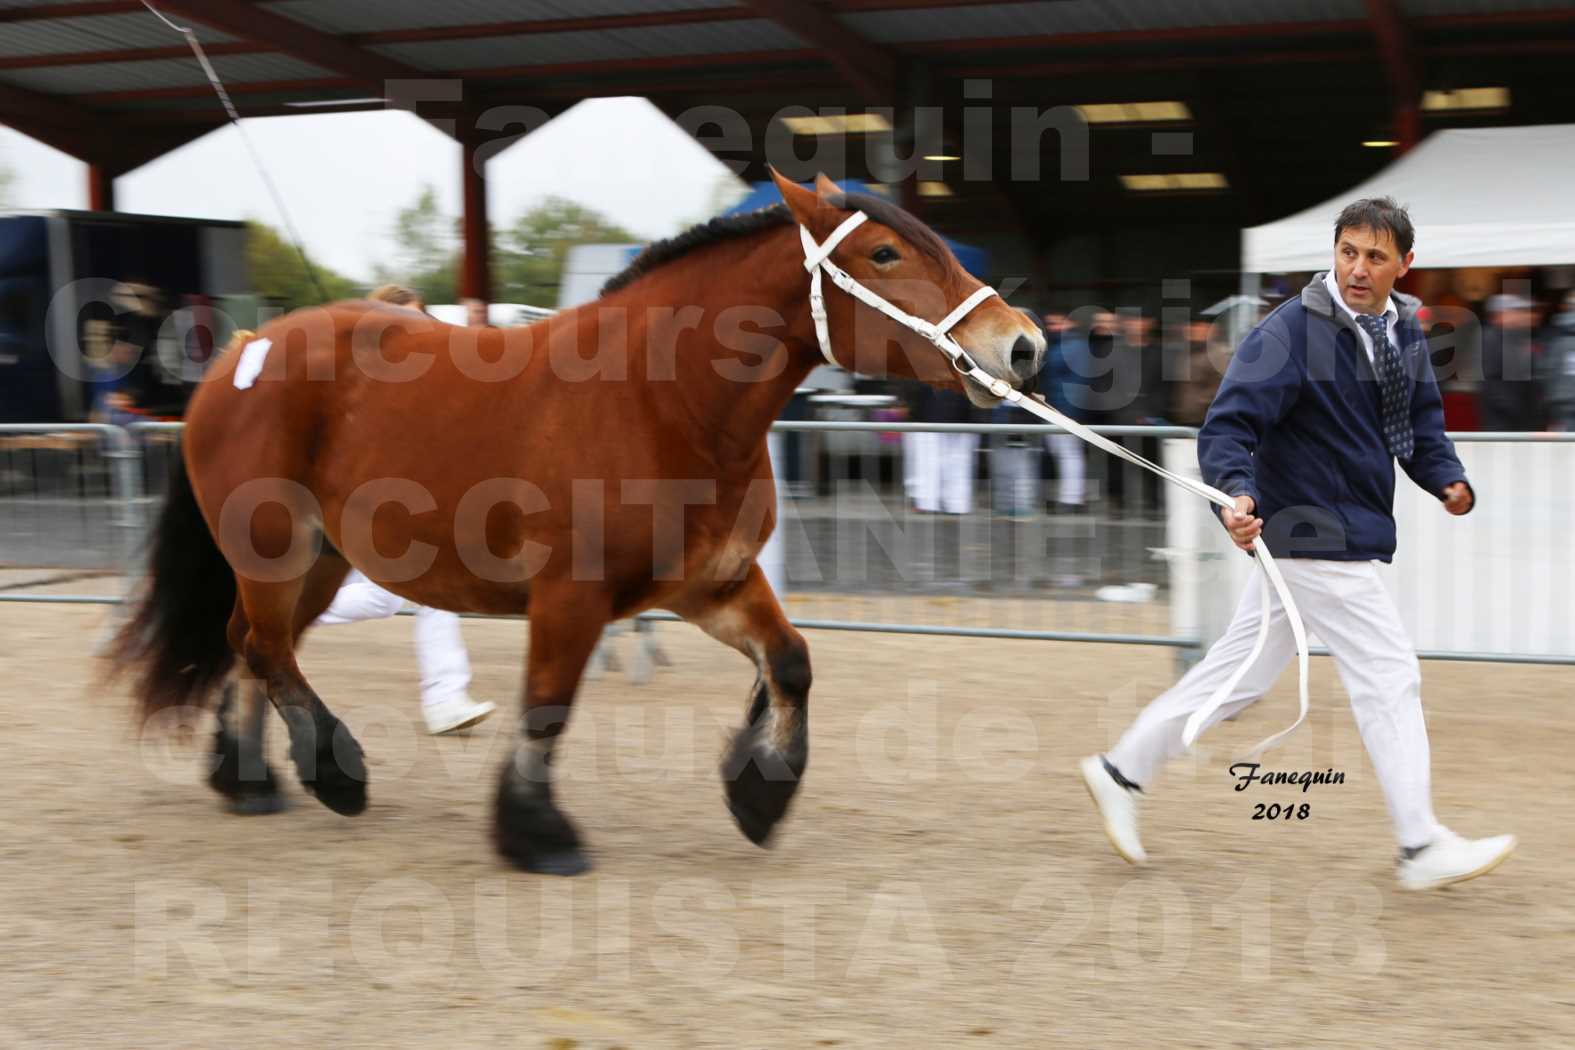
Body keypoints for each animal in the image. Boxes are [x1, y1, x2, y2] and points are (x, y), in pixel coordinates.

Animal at [111, 172, 1045, 875]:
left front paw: (759, 792)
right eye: (884, 252)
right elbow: (548, 709)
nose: (1023, 345)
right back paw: (333, 773)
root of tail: (240, 352)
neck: (659, 399)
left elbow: (790, 663)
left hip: (323, 560)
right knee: (264, 647)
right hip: (275, 550)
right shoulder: (570, 598)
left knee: (249, 646)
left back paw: (251, 780)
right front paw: (537, 835)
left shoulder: (710, 585)